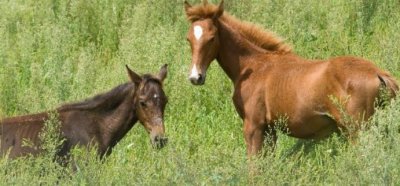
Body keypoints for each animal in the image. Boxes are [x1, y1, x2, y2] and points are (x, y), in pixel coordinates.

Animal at [184, 0, 396, 156]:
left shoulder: (253, 126)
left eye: (212, 38)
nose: (196, 77)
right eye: (188, 39)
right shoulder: (270, 129)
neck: (254, 65)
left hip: (356, 131)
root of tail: (379, 73)